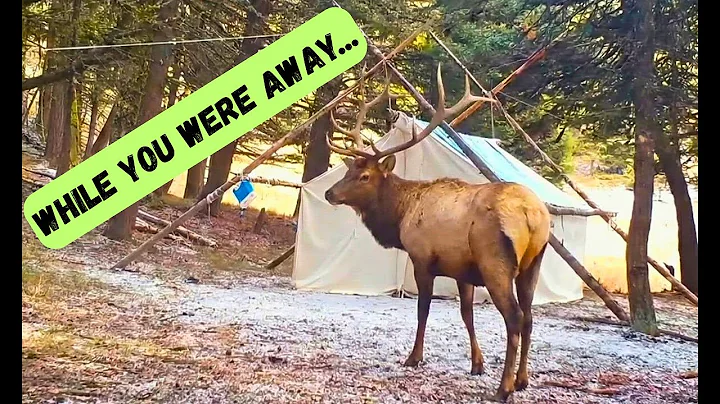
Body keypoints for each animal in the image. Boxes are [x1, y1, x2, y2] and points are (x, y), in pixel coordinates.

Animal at [323, 63, 552, 402]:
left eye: (364, 176)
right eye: (349, 170)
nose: (329, 193)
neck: (400, 216)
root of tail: (532, 215)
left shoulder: (421, 258)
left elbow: (423, 310)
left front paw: (413, 357)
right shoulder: (463, 271)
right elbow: (466, 313)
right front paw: (477, 363)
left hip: (496, 263)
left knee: (514, 318)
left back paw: (504, 387)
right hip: (533, 265)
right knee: (530, 317)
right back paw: (523, 380)